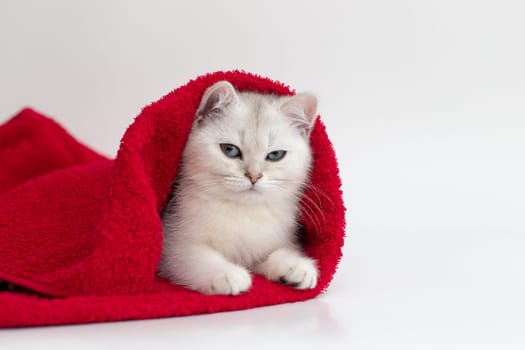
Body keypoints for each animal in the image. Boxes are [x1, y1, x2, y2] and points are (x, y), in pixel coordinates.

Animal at [158, 80, 318, 294]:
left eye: (275, 155)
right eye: (230, 150)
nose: (254, 176)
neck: (243, 211)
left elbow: (273, 252)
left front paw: (296, 266)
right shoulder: (171, 243)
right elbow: (192, 256)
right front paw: (227, 274)